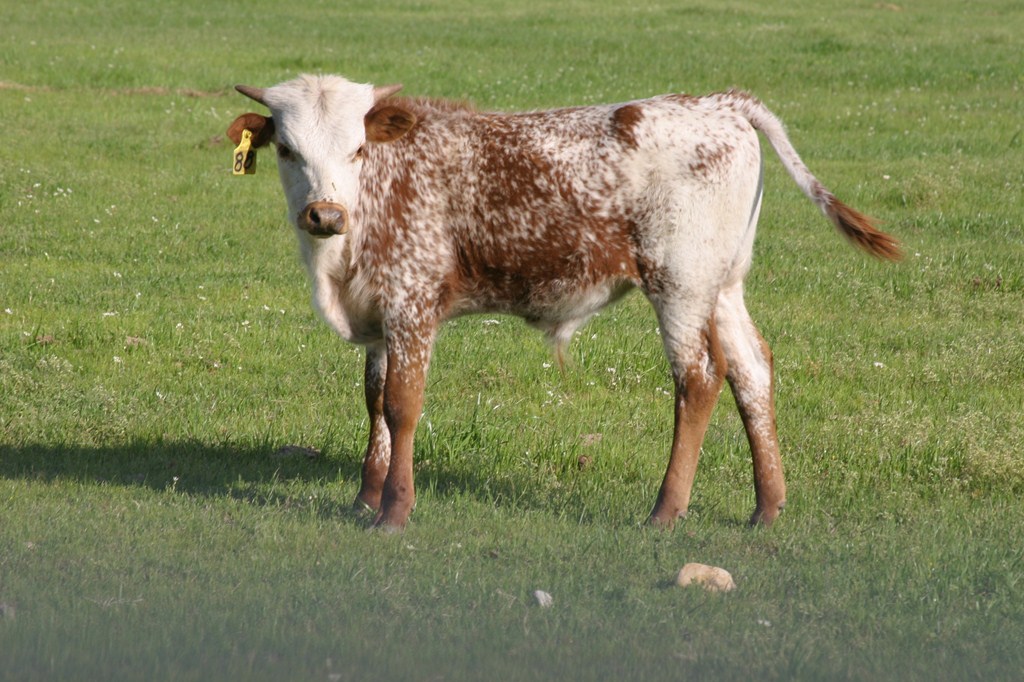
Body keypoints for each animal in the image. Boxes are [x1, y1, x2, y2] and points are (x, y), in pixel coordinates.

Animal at [226, 74, 900, 531]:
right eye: (287, 149)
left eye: (357, 149)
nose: (324, 214)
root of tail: (720, 103)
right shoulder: (379, 314)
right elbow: (373, 400)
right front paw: (365, 496)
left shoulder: (413, 303)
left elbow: (402, 405)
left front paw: (393, 511)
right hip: (723, 284)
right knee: (752, 370)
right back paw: (767, 506)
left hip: (679, 282)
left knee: (700, 377)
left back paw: (666, 509)